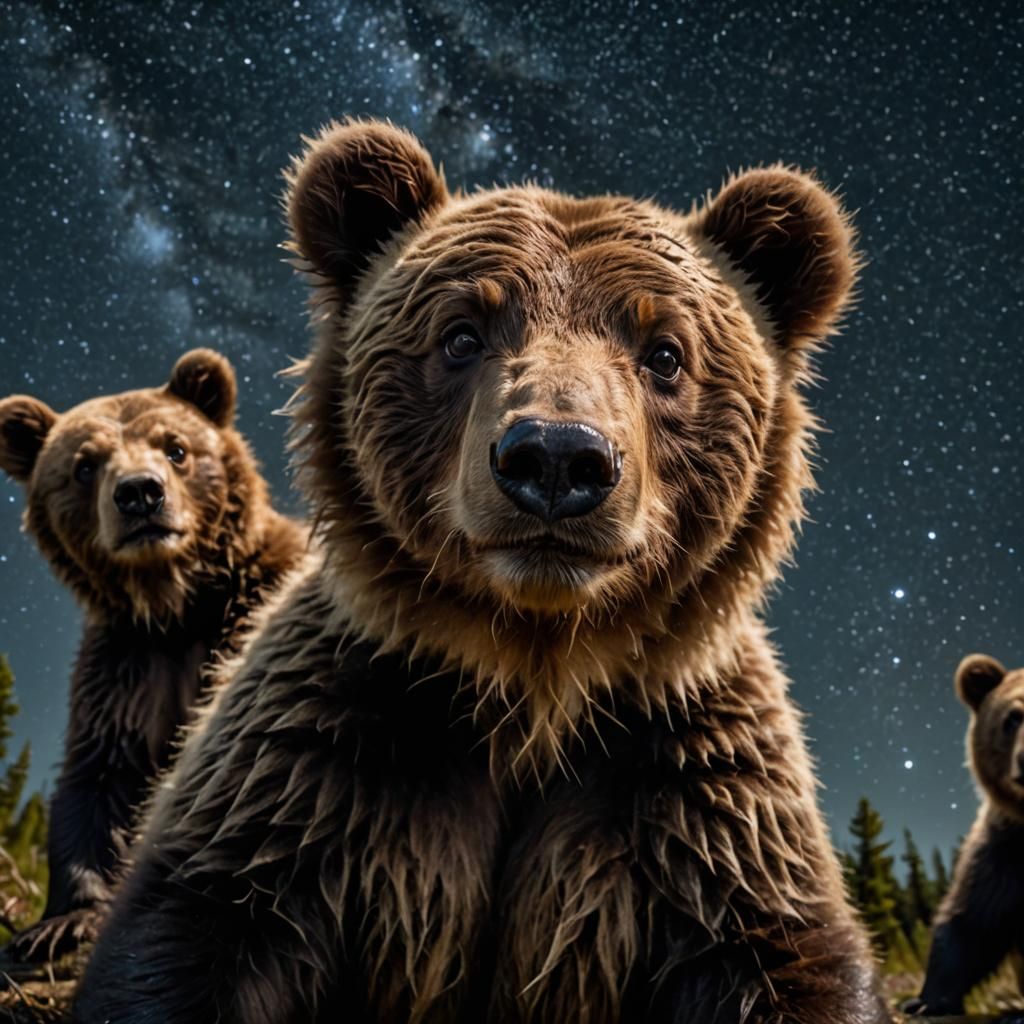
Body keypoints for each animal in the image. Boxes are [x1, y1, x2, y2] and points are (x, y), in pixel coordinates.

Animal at [0, 349, 307, 963]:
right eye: (85, 465)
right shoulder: (126, 669)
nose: (140, 492)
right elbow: (100, 779)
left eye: (176, 447)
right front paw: (61, 922)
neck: (177, 604)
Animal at [72, 121, 891, 1023]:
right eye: (462, 332)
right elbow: (191, 924)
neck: (531, 676)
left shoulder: (698, 790)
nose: (557, 458)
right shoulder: (311, 764)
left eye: (667, 352)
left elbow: (785, 954)